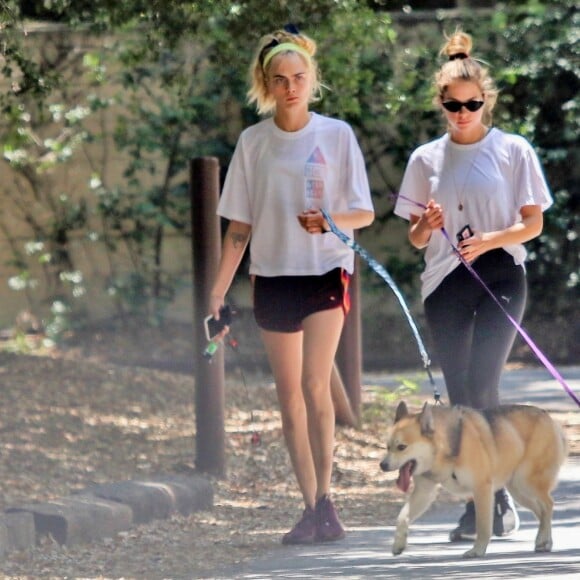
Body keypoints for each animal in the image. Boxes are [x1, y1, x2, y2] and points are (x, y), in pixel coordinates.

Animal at [380, 404, 568, 556]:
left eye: (401, 447)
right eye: (387, 447)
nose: (382, 465)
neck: (447, 447)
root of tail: (547, 416)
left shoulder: (481, 489)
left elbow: (483, 526)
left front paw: (477, 550)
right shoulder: (424, 492)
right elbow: (402, 516)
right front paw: (398, 543)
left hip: (526, 482)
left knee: (548, 505)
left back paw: (544, 541)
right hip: (519, 491)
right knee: (541, 511)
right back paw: (543, 540)